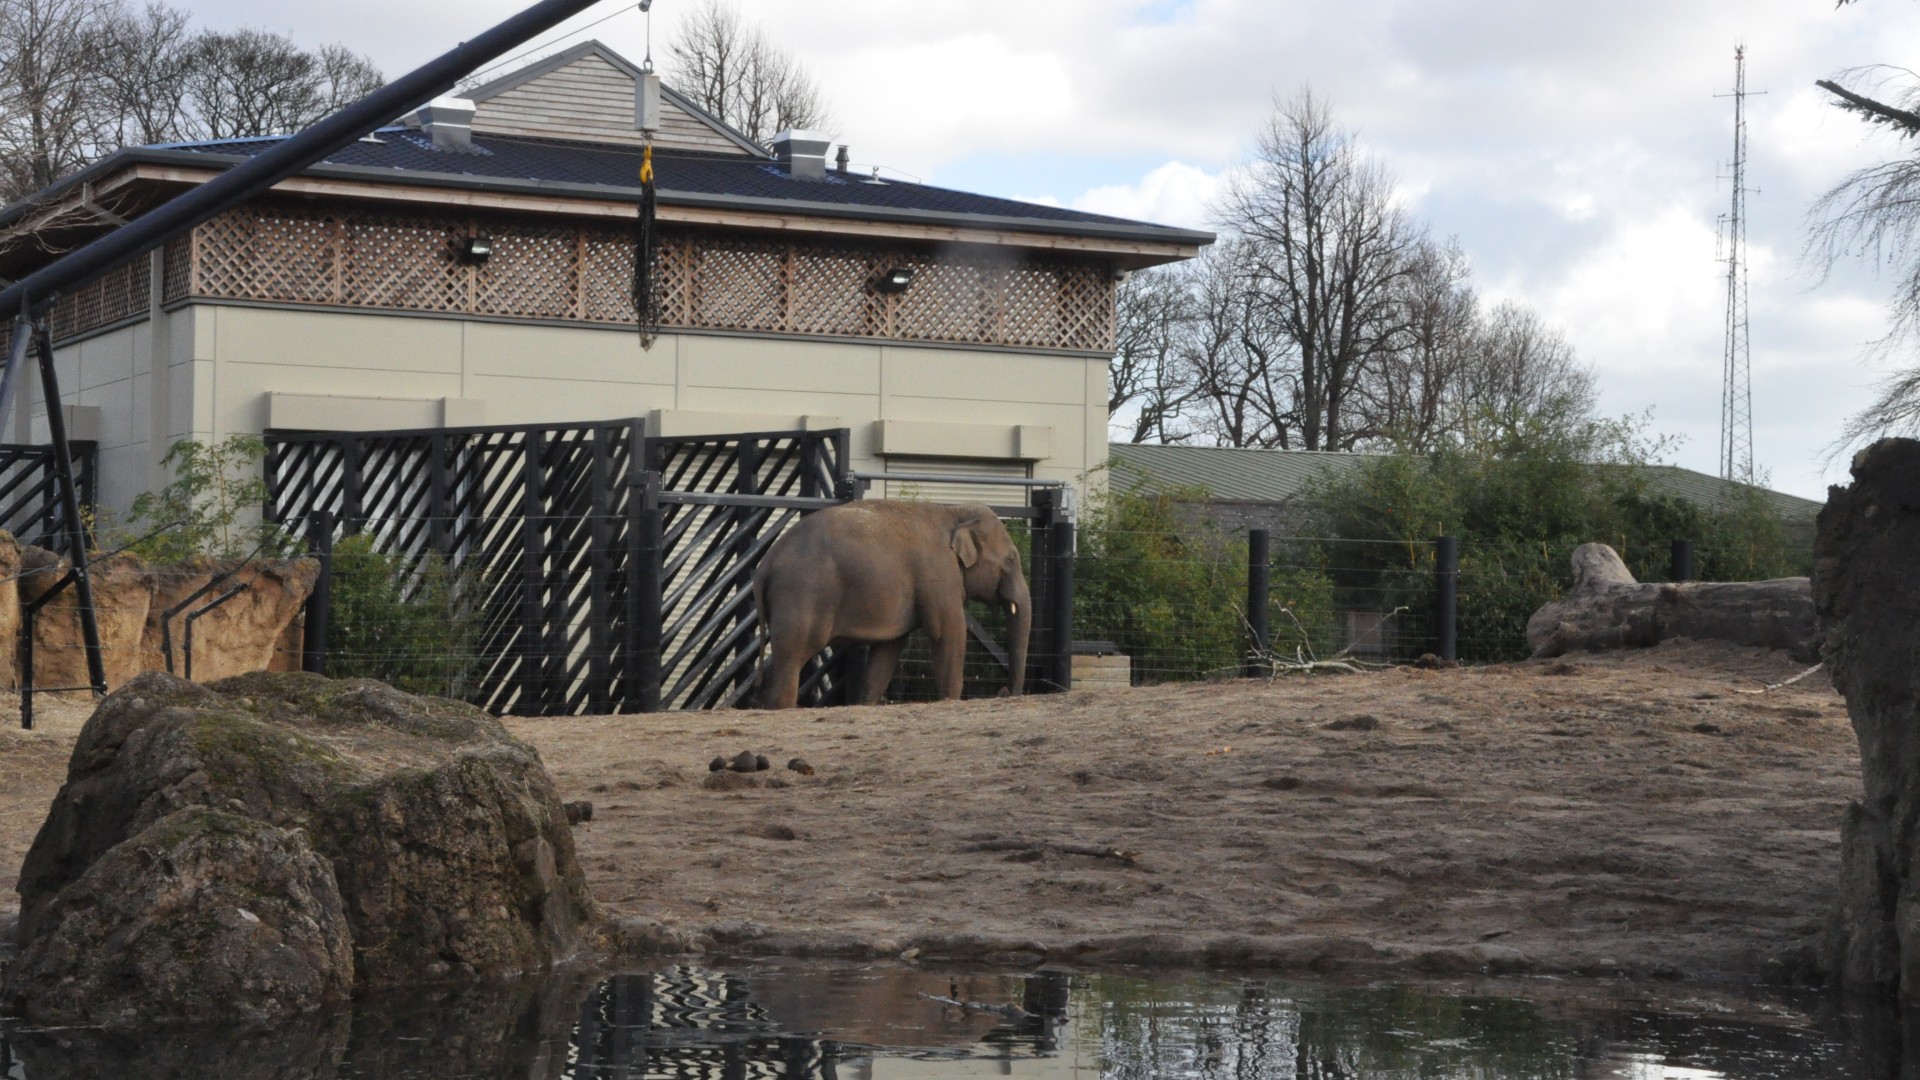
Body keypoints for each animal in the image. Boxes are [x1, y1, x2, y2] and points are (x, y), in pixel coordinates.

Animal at [748, 499, 1029, 707]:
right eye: (1011, 560)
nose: (1003, 691)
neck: (953, 511)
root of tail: (766, 563)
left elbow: (887, 652)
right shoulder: (939, 575)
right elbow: (948, 632)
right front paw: (950, 699)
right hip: (800, 595)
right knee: (791, 657)